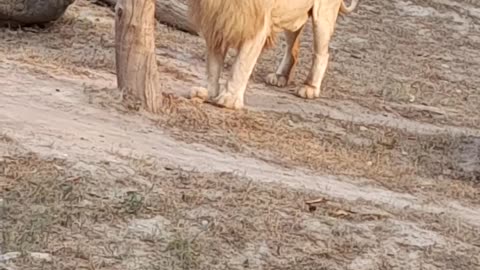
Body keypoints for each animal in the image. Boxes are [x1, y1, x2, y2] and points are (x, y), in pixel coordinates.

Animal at [189, 0, 358, 109]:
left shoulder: (257, 25)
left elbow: (240, 66)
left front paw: (229, 99)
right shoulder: (216, 20)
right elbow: (213, 66)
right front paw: (209, 93)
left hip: (322, 15)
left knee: (322, 54)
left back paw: (310, 87)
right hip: (291, 15)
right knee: (293, 48)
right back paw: (280, 76)